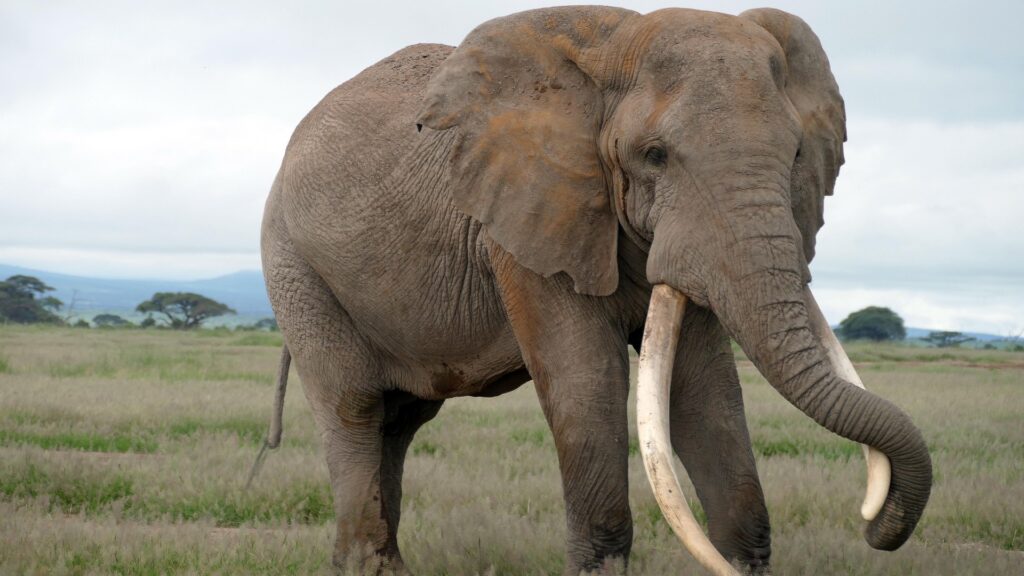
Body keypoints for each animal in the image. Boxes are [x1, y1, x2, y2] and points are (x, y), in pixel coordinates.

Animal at [258, 6, 932, 575]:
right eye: (654, 155)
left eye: (795, 154)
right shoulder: (524, 221)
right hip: (295, 266)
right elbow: (586, 379)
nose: (872, 522)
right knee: (356, 411)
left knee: (400, 423)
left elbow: (703, 387)